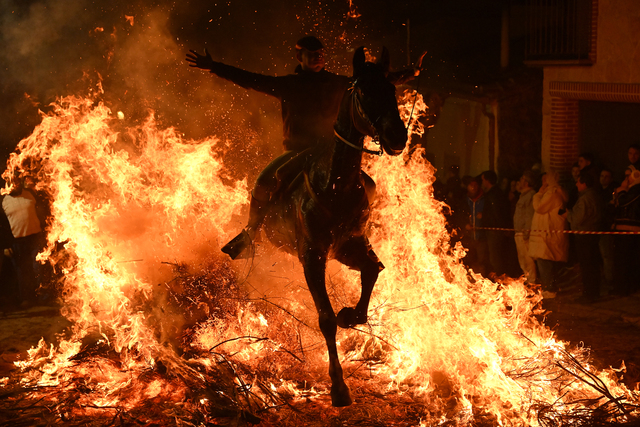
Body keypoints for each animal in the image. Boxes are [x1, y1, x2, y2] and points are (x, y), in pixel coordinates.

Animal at [248, 47, 407, 407]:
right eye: (363, 91)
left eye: (392, 90)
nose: (397, 136)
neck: (336, 184)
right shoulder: (312, 256)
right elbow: (325, 319)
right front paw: (338, 386)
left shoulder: (350, 248)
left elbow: (373, 272)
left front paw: (351, 315)